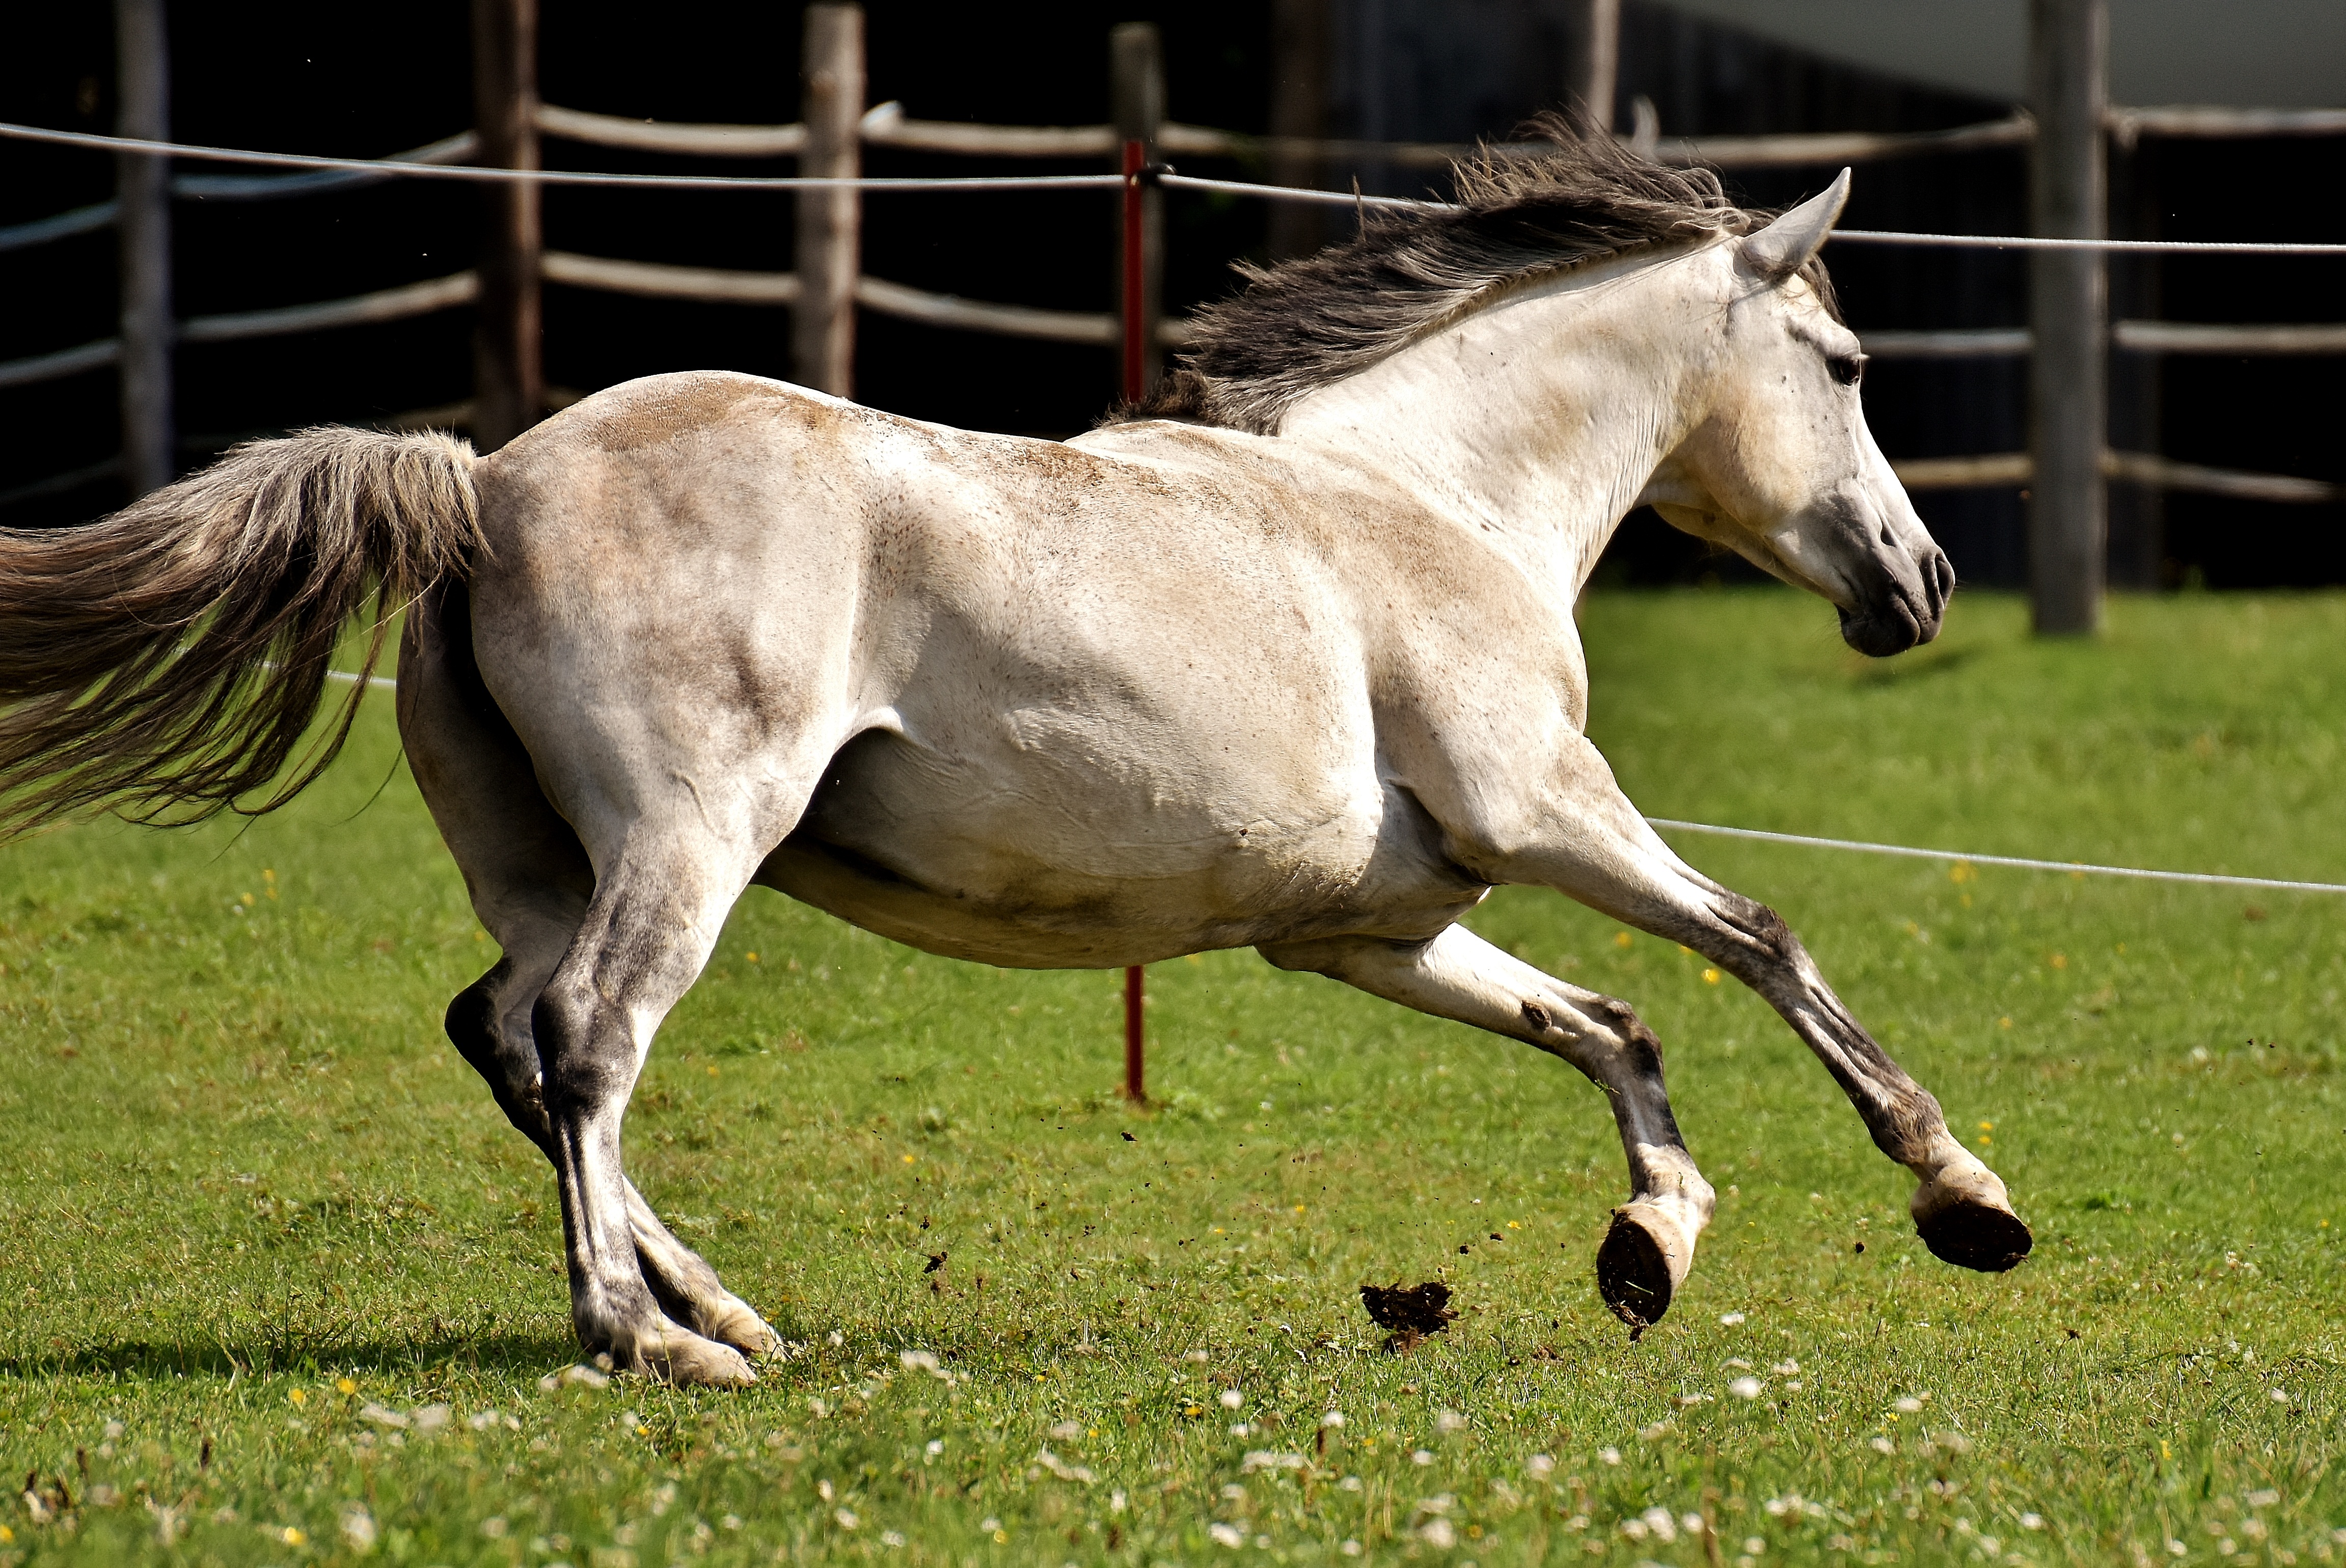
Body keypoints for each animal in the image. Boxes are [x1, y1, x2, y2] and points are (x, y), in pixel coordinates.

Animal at [0, 131, 2017, 1380]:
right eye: (1843, 362)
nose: (1914, 583)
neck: (1423, 506)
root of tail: (483, 483)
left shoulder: (1366, 928)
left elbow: (1609, 1023)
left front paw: (1647, 1242)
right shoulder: (1547, 812)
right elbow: (1758, 940)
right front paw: (1956, 1196)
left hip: (535, 860)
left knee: (505, 1034)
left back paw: (725, 1307)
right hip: (690, 838)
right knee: (584, 1037)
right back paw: (647, 1336)